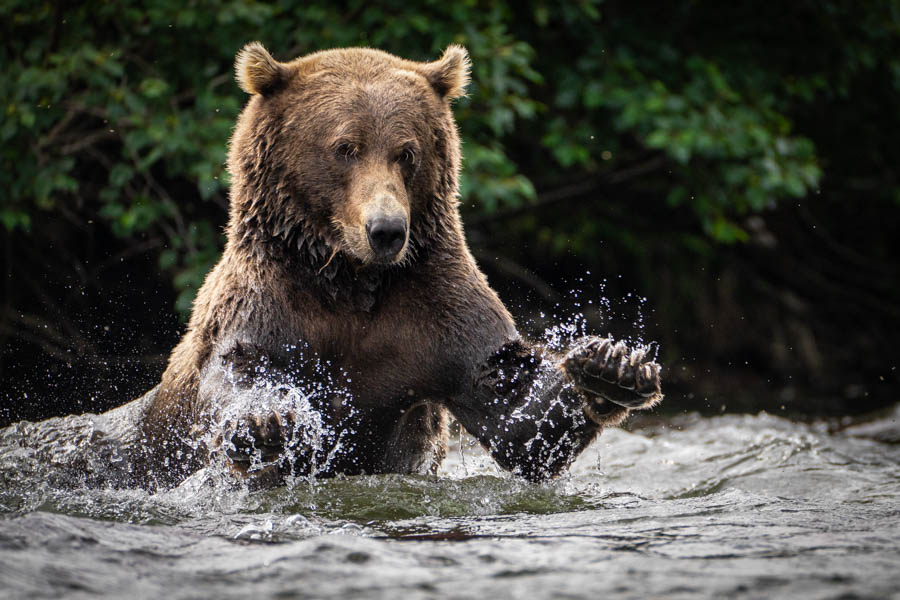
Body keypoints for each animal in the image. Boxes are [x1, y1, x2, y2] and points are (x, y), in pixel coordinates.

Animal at [131, 42, 663, 488]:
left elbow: (511, 403)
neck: (349, 277)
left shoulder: (434, 312)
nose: (385, 230)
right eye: (345, 147)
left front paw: (613, 366)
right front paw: (265, 423)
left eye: (406, 152)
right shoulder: (268, 300)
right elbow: (243, 369)